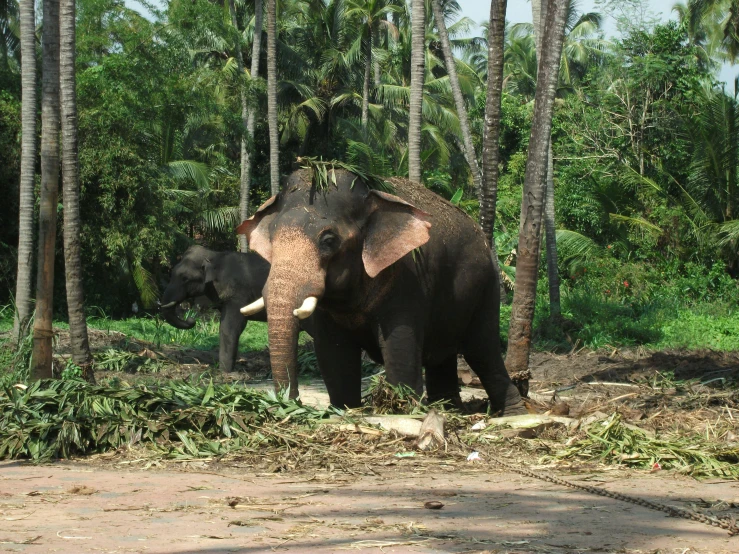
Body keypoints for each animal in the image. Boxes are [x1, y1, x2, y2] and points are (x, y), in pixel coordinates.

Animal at [237, 168, 528, 414]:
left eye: (328, 240)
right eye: (272, 238)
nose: (290, 403)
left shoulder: (407, 280)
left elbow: (400, 348)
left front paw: (403, 410)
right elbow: (333, 354)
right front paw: (345, 411)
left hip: (488, 286)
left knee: (483, 351)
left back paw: (513, 415)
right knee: (443, 356)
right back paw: (447, 410)